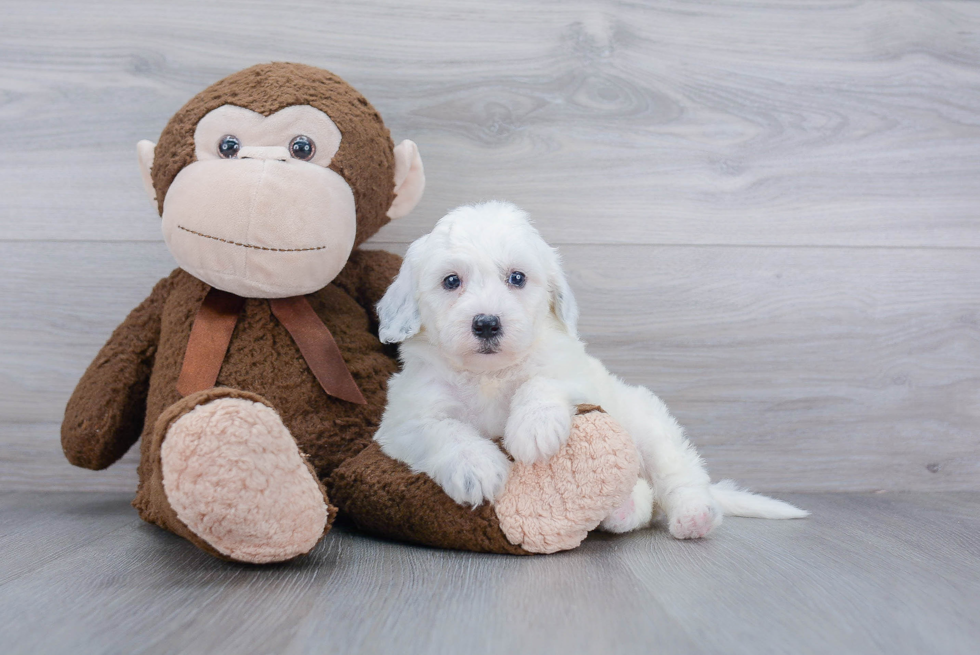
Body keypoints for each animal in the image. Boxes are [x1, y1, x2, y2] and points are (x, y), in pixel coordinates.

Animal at [372, 202, 808, 540]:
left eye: (517, 278)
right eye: (451, 281)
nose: (487, 323)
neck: (488, 375)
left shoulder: (574, 372)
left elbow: (542, 381)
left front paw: (533, 429)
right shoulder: (405, 418)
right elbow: (442, 431)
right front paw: (476, 468)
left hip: (647, 422)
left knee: (678, 473)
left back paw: (693, 515)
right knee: (642, 506)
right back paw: (622, 507)